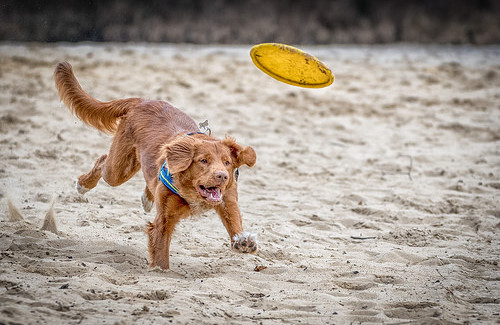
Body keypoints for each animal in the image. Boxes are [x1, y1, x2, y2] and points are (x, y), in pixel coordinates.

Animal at [53, 60, 258, 268]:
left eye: (227, 162)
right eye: (203, 160)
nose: (222, 176)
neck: (192, 191)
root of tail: (141, 101)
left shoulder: (227, 200)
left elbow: (234, 221)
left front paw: (243, 241)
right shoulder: (164, 220)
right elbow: (161, 253)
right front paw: (160, 271)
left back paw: (147, 197)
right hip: (119, 169)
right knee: (103, 161)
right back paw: (83, 185)